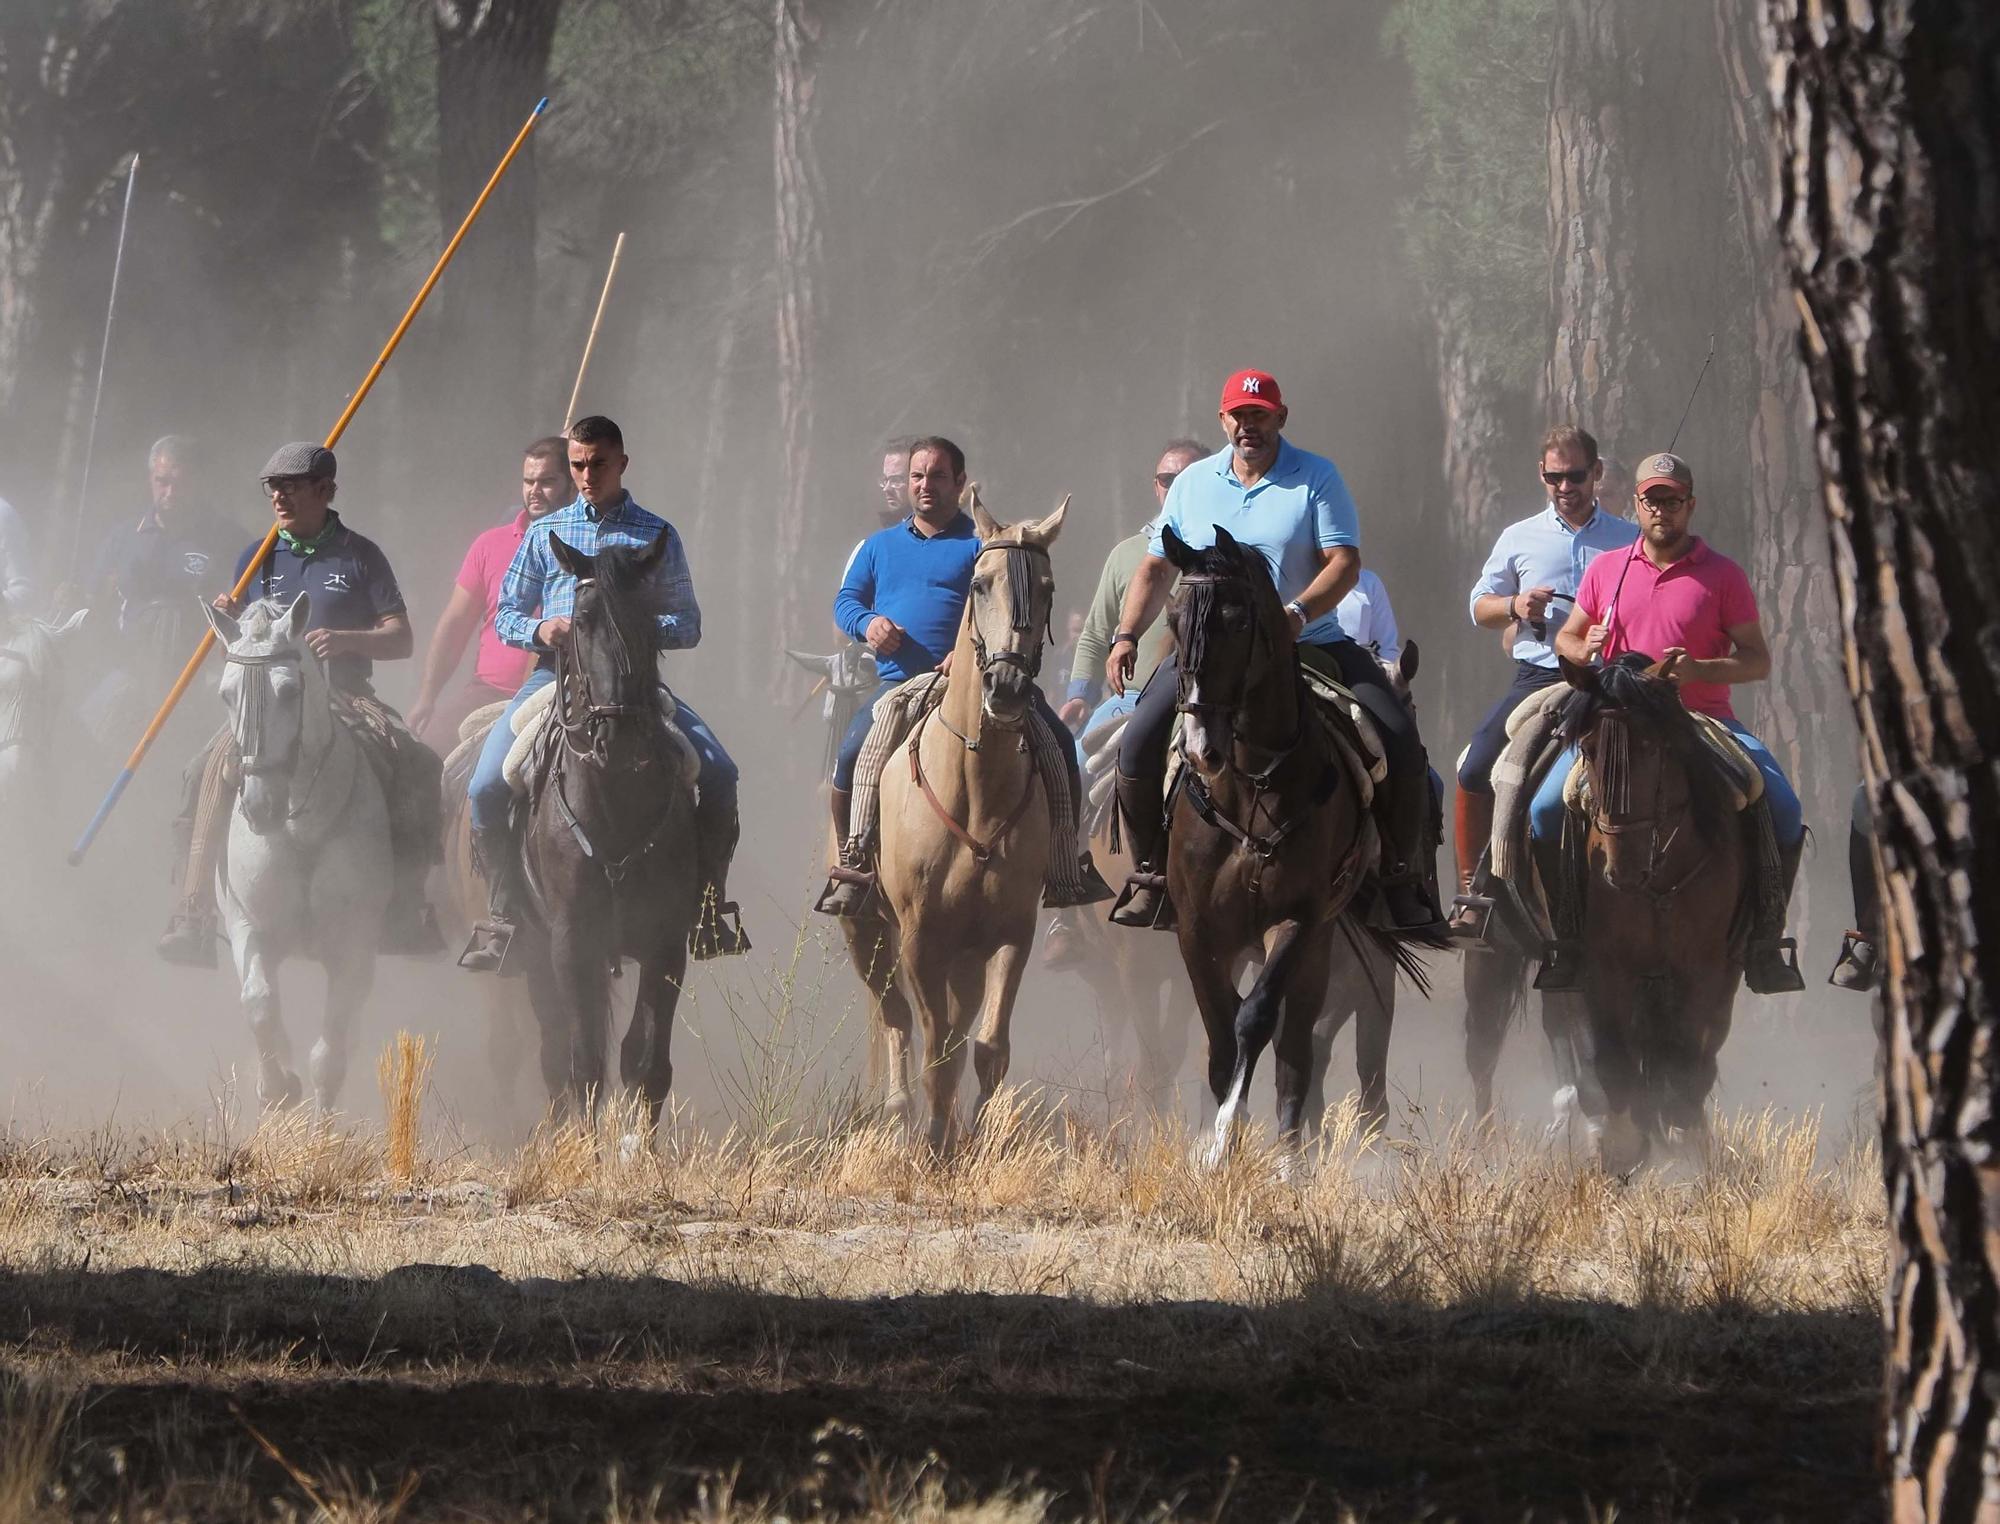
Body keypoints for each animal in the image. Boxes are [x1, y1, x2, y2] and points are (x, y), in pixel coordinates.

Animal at [203, 592, 390, 1104]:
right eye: (226, 694)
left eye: (288, 691)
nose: (259, 806)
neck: (301, 830)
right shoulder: (248, 923)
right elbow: (258, 1002)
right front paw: (278, 1086)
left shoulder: (353, 948)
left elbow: (329, 1056)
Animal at [872, 492, 1064, 1144]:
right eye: (979, 585)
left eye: (1047, 588)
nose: (1005, 686)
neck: (975, 793)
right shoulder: (919, 936)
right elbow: (935, 1049)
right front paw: (933, 1142)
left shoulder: (1009, 934)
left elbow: (986, 1048)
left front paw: (974, 1140)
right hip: (867, 932)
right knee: (895, 1017)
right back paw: (900, 1111)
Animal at [1152, 524, 1384, 1160]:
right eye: (1173, 618)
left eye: (1236, 621)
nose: (1202, 749)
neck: (1251, 783)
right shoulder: (1197, 930)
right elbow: (1220, 1034)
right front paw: (1219, 1142)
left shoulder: (1298, 920)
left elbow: (1254, 1021)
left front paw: (1225, 1135)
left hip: (1319, 946)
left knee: (1297, 1048)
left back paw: (1290, 1160)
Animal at [1536, 652, 1744, 1160]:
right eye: (1589, 748)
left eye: (1653, 746)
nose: (1623, 871)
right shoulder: (1603, 967)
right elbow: (1612, 1059)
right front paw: (1621, 1146)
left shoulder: (1702, 968)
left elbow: (1685, 1062)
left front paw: (1682, 1145)